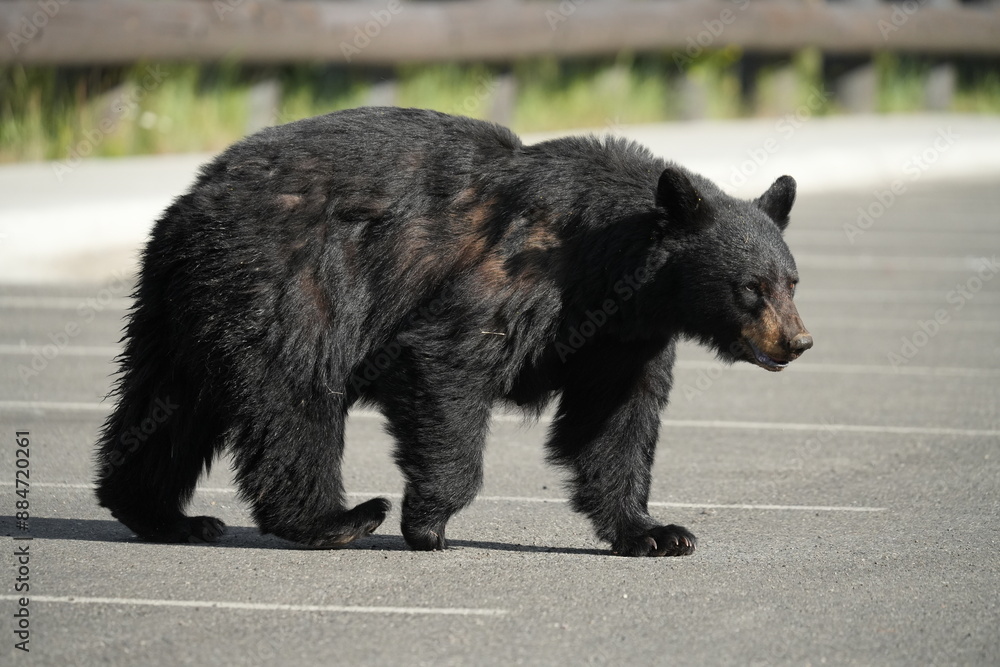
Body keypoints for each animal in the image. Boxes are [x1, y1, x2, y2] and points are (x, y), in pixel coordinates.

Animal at [94, 106, 812, 557]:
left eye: (791, 281)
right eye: (750, 288)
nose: (796, 342)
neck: (615, 270)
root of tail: (194, 196)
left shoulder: (621, 340)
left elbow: (612, 422)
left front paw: (656, 531)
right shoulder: (520, 274)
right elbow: (449, 362)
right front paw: (430, 521)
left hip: (182, 302)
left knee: (165, 402)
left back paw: (161, 513)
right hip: (287, 281)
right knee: (293, 394)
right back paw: (338, 518)